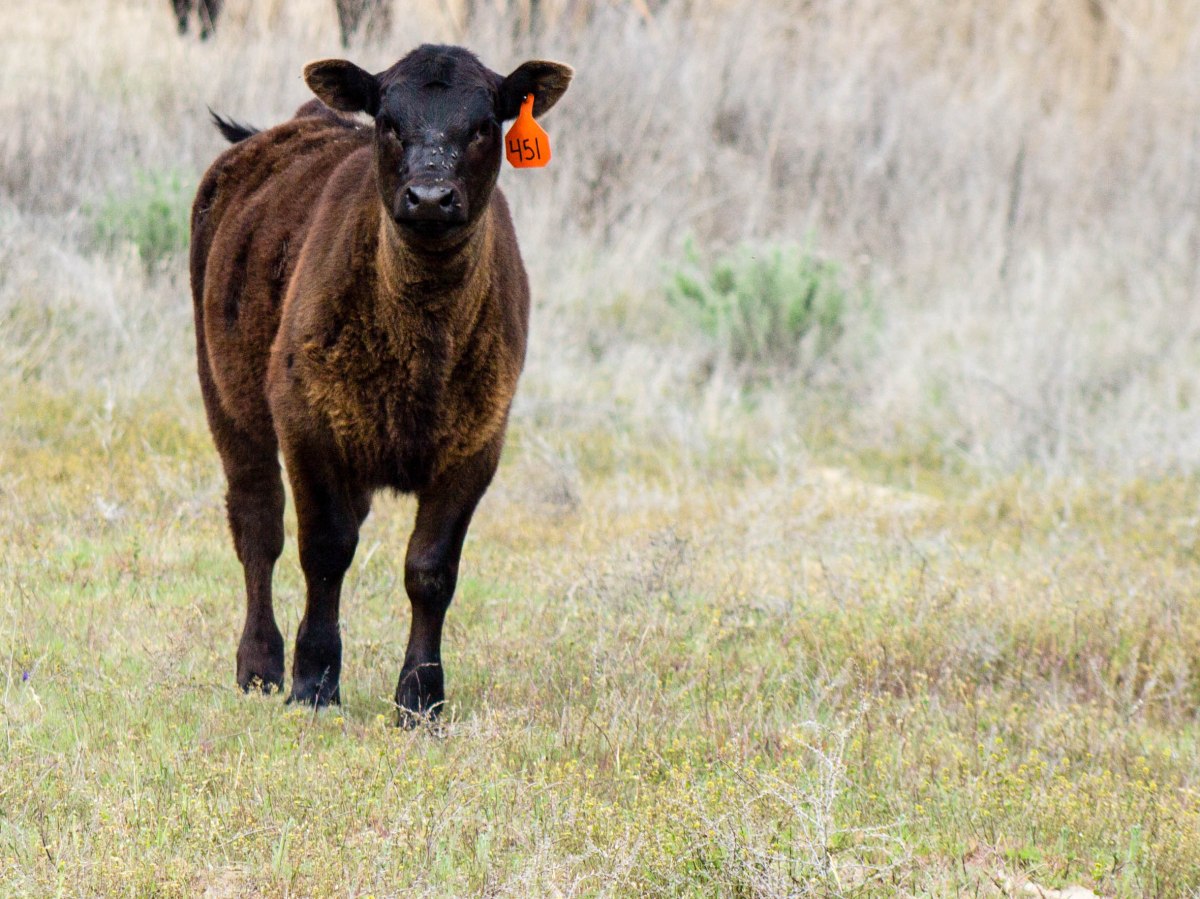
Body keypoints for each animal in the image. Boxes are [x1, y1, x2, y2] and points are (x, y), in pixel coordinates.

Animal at [189, 44, 572, 722]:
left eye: (484, 126)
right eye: (389, 122)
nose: (430, 197)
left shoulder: (478, 443)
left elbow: (431, 570)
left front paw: (421, 697)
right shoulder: (308, 424)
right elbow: (325, 551)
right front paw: (314, 682)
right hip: (228, 399)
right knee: (258, 525)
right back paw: (259, 664)